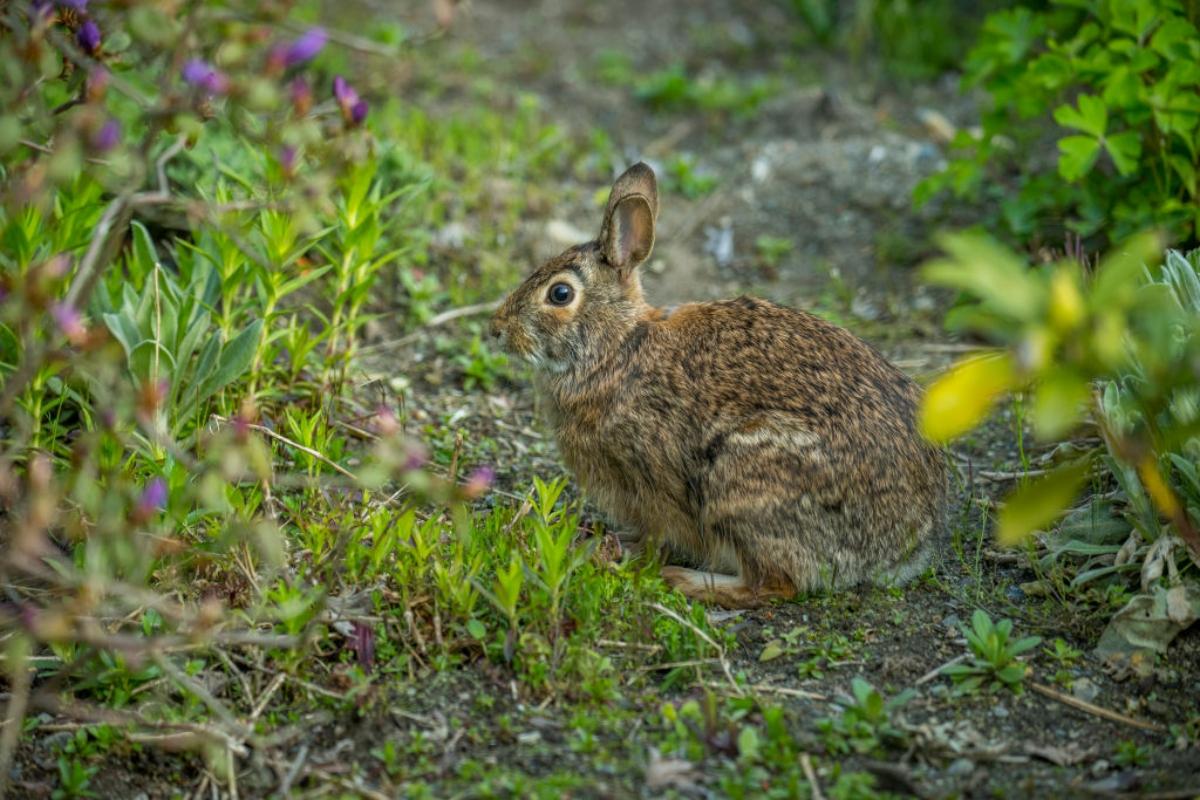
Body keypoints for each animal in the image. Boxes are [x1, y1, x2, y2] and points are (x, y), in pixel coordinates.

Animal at [489, 163, 945, 606]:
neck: (616, 345)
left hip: (744, 482)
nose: (496, 329)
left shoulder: (650, 480)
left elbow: (657, 533)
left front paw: (625, 552)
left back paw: (684, 581)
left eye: (560, 294)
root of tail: (903, 545)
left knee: (773, 584)